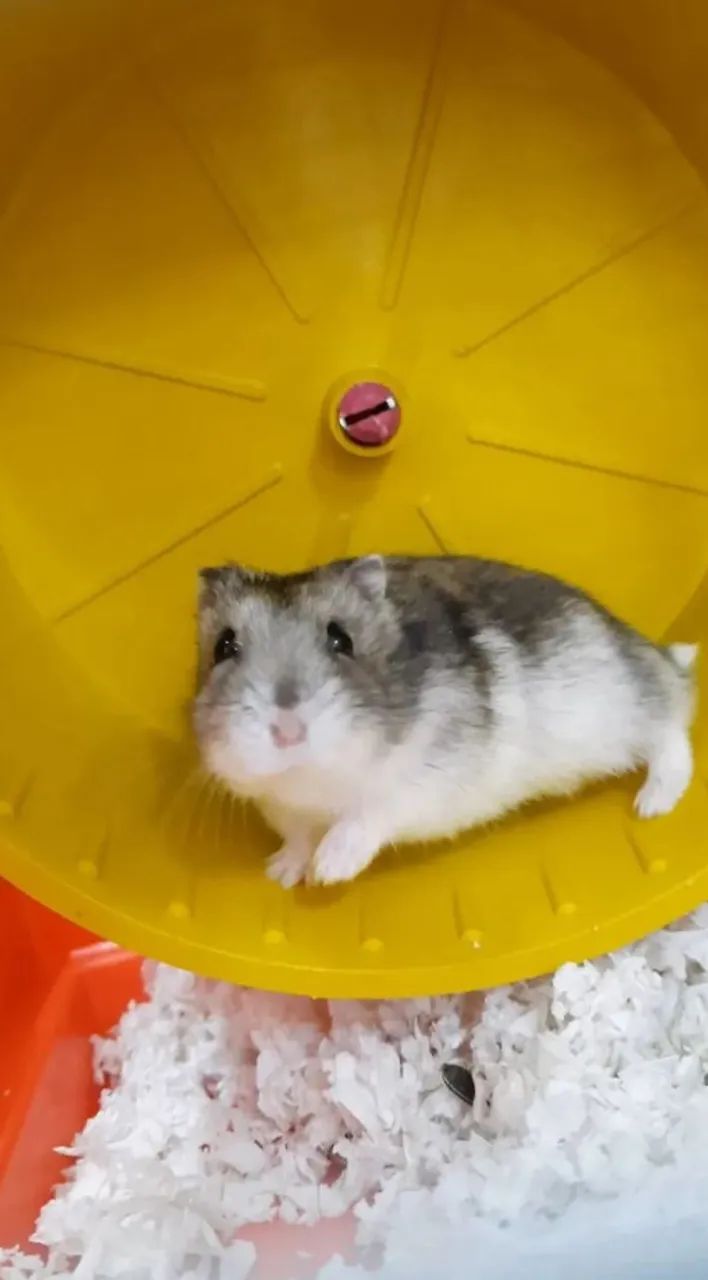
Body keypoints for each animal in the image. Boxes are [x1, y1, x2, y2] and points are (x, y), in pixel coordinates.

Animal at [193, 554, 698, 888]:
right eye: (224, 647)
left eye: (342, 640)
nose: (288, 732)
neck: (314, 782)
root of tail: (655, 651)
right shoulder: (281, 808)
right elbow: (298, 838)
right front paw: (281, 874)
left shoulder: (421, 780)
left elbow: (368, 814)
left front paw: (328, 871)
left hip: (629, 706)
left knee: (673, 733)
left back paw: (651, 806)